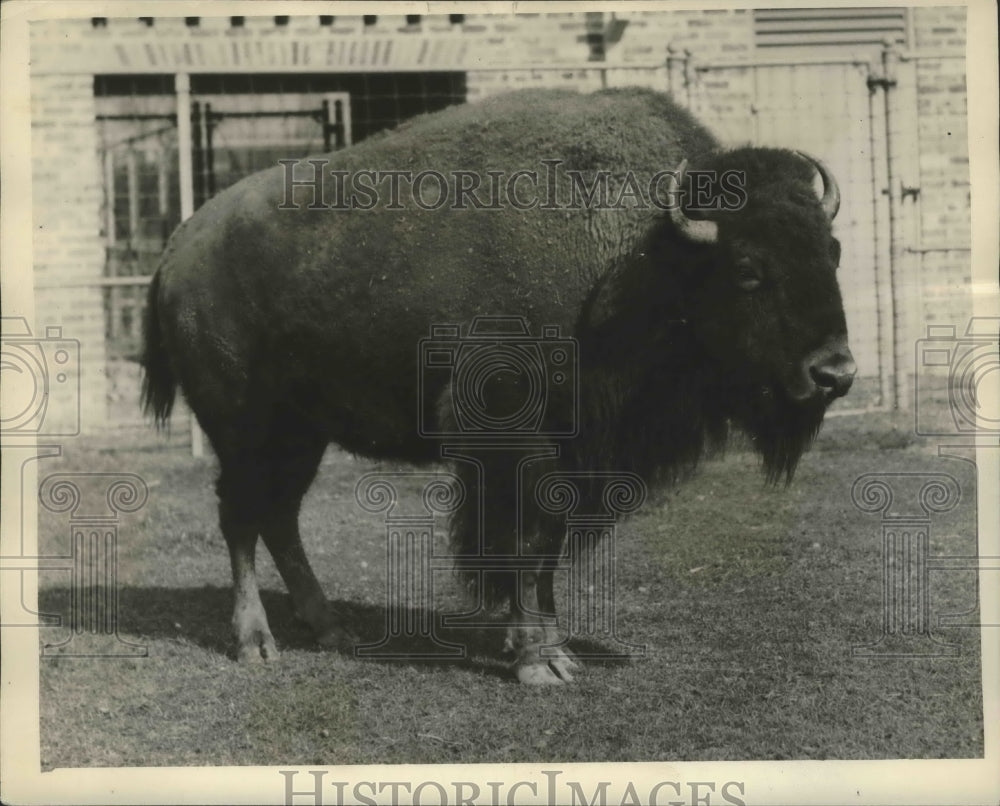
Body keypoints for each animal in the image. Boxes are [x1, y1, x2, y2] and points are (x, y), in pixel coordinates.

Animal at [145, 87, 856, 680]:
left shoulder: (566, 458)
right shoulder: (514, 447)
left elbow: (544, 552)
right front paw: (539, 661)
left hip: (302, 433)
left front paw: (546, 646)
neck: (644, 253)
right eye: (748, 268)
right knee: (241, 515)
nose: (835, 373)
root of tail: (180, 245)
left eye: (833, 251)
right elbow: (522, 543)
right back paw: (255, 642)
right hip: (243, 426)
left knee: (279, 515)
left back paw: (330, 629)